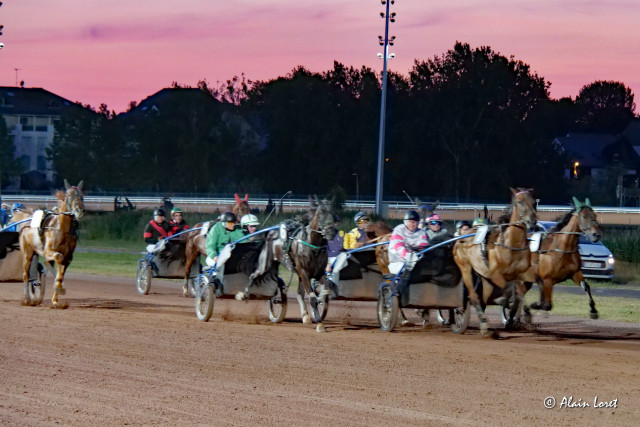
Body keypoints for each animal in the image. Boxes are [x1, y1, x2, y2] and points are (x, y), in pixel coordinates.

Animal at [452, 189, 536, 336]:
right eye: (519, 201)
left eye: (534, 202)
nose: (532, 221)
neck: (510, 244)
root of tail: (459, 240)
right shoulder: (496, 274)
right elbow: (508, 291)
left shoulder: (518, 275)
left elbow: (519, 294)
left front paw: (515, 318)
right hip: (466, 269)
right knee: (474, 296)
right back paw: (481, 324)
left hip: (482, 275)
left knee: (483, 297)